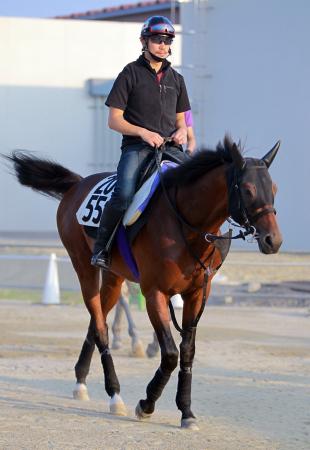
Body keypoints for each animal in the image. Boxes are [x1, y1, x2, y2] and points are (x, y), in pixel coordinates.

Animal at [6, 136, 284, 428]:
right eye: (248, 189)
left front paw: (186, 411)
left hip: (113, 277)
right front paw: (147, 404)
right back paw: (115, 395)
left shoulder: (196, 294)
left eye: (273, 187)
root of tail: (78, 184)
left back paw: (81, 381)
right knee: (100, 326)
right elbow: (171, 354)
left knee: (97, 320)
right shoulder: (155, 294)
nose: (273, 240)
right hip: (84, 267)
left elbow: (187, 352)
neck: (183, 223)